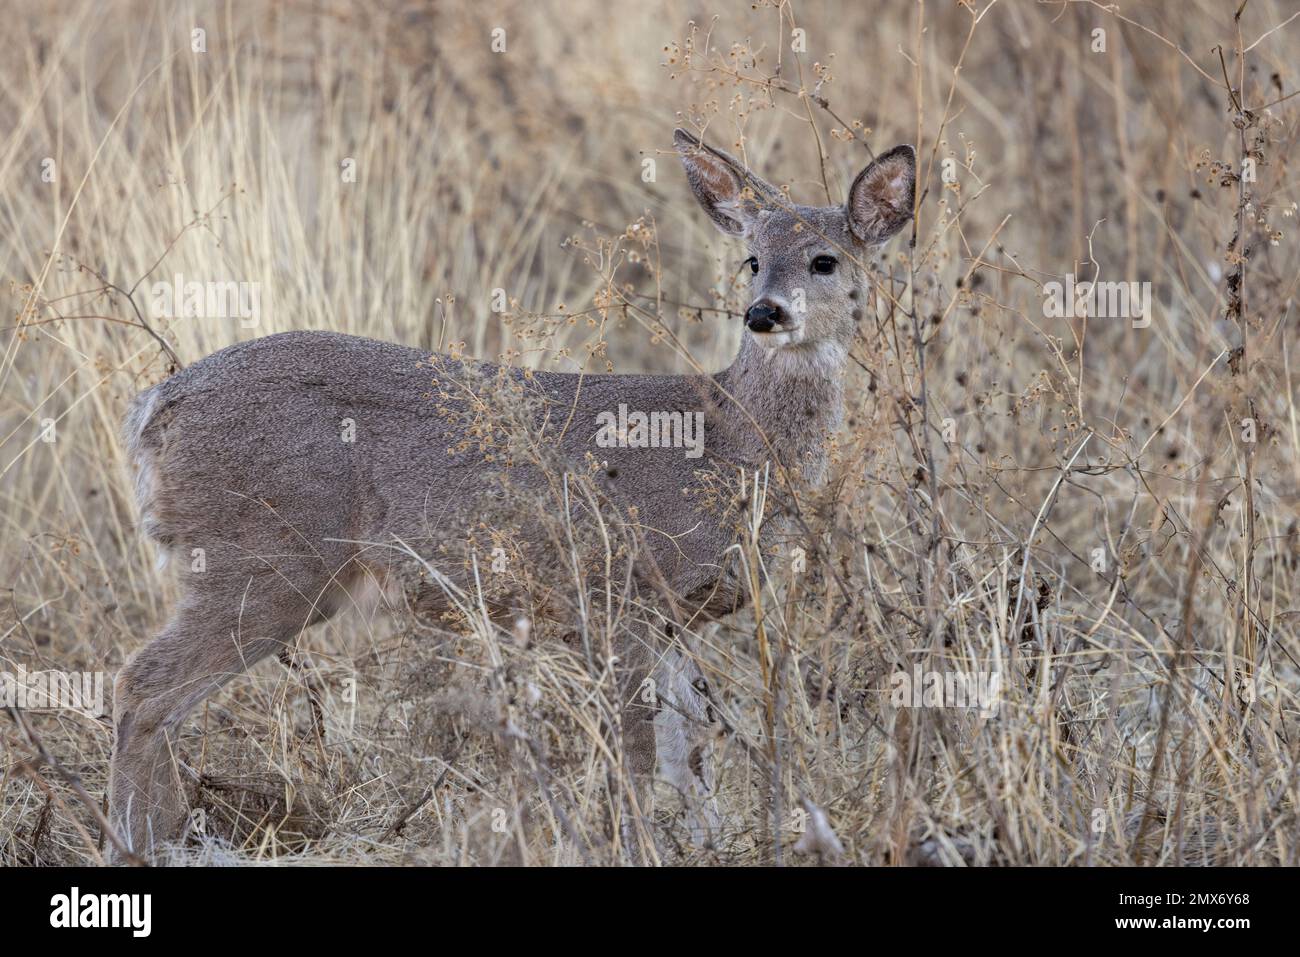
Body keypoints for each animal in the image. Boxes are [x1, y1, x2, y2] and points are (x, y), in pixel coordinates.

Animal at [109, 127, 915, 858]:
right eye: (752, 260)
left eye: (825, 260)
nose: (764, 312)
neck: (728, 441)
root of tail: (152, 408)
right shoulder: (617, 591)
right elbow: (637, 752)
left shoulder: (673, 616)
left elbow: (691, 750)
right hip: (264, 557)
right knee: (142, 686)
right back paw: (141, 845)